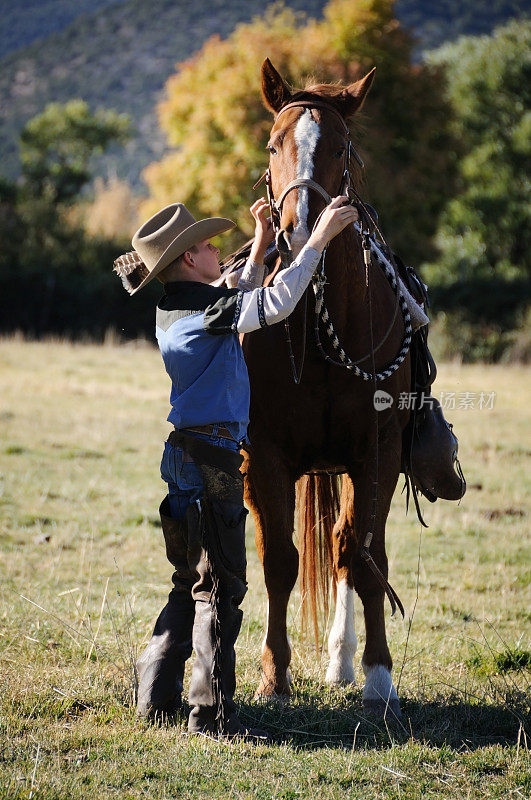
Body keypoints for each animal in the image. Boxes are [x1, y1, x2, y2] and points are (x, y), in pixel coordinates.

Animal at [243, 59, 414, 716]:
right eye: (274, 143)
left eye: (341, 148)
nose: (296, 234)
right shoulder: (265, 456)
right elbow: (279, 563)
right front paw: (274, 676)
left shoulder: (377, 453)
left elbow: (365, 560)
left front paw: (378, 677)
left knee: (345, 547)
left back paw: (342, 661)